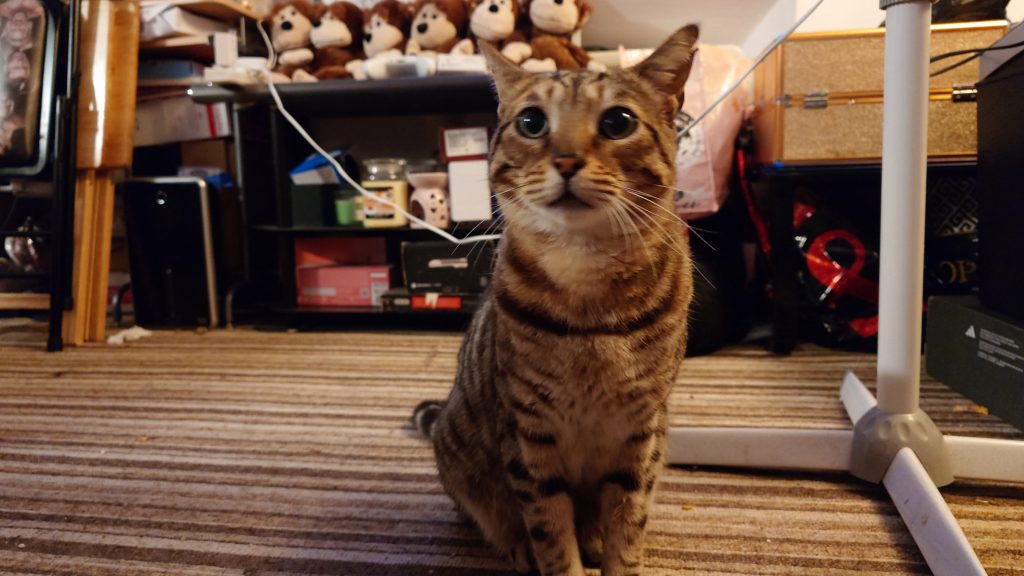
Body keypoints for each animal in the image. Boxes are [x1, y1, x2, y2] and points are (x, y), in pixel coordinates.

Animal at [413, 25, 699, 576]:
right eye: (531, 122)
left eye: (618, 121)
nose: (565, 161)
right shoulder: (529, 435)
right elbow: (551, 537)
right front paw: (555, 554)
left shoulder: (641, 435)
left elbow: (627, 531)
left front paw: (614, 553)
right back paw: (517, 546)